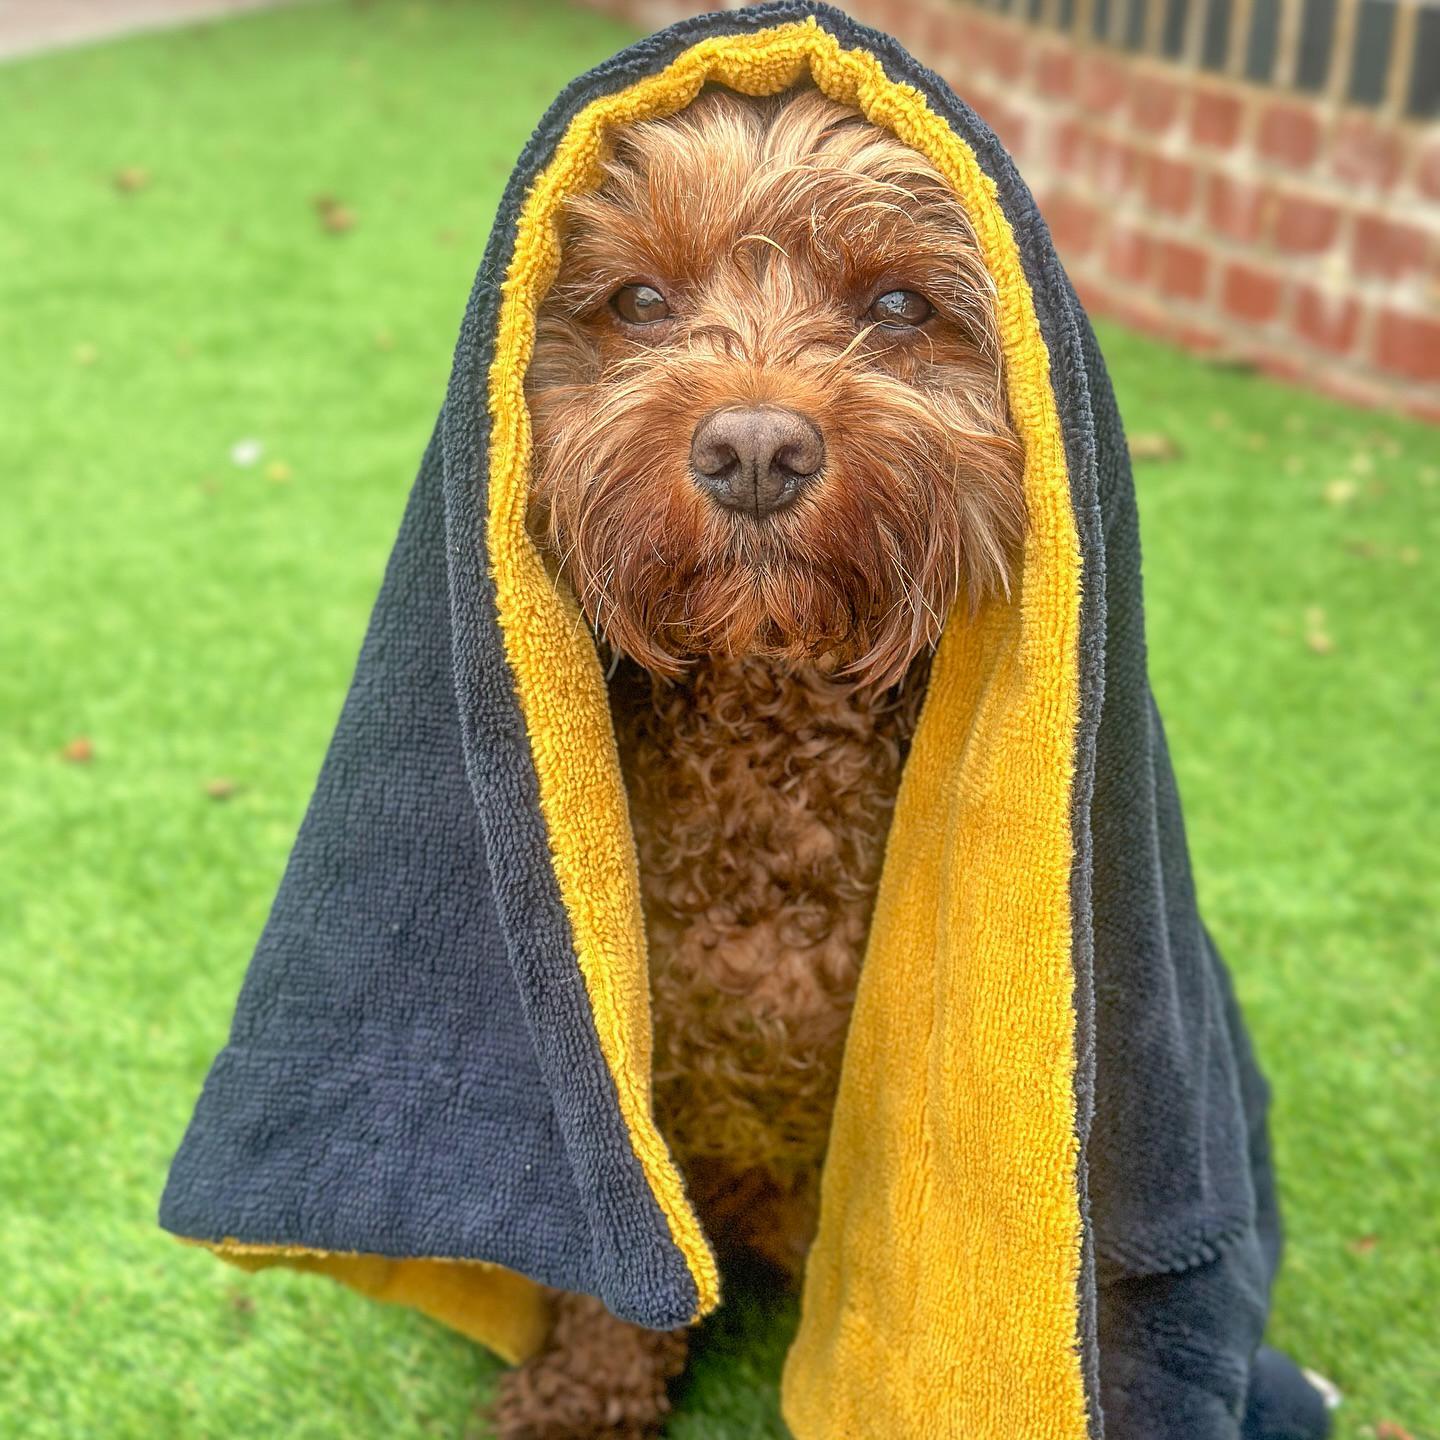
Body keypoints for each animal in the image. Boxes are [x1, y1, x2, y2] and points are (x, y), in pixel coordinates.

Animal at [495, 90, 1025, 1440]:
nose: (753, 448)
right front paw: (585, 1398)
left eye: (898, 305)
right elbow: (628, 1271)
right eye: (637, 300)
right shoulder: (625, 1089)